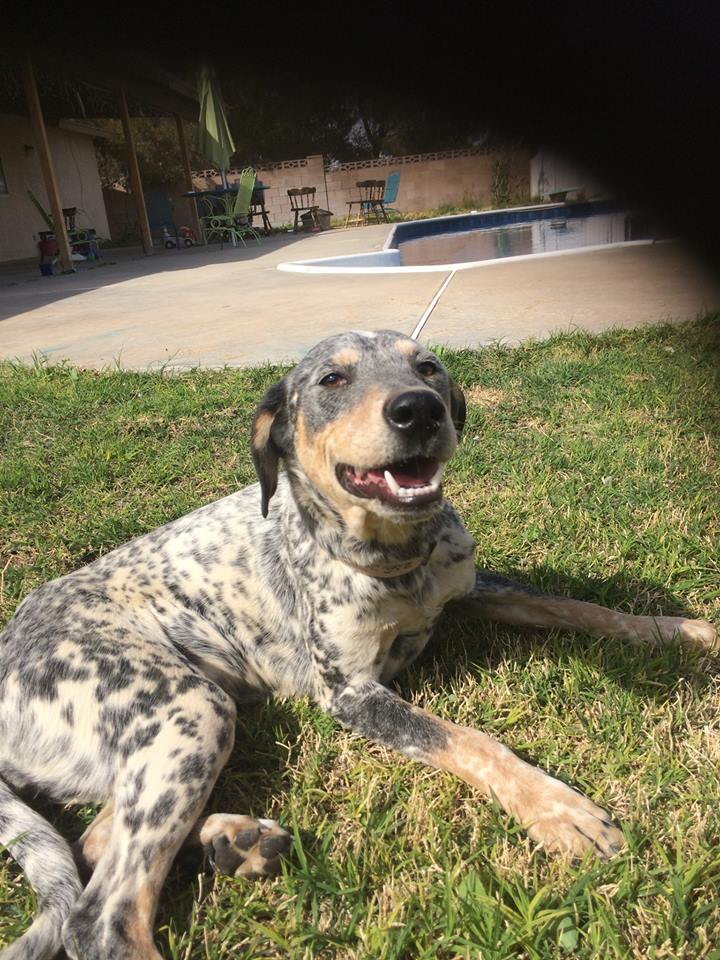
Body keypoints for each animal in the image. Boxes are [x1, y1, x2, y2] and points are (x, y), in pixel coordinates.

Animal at [0, 330, 716, 960]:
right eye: (332, 380)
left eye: (428, 367)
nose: (418, 408)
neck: (395, 558)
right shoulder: (350, 693)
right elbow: (468, 740)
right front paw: (556, 808)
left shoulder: (471, 587)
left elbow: (572, 604)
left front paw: (679, 630)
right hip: (190, 707)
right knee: (100, 916)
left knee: (100, 838)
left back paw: (234, 840)